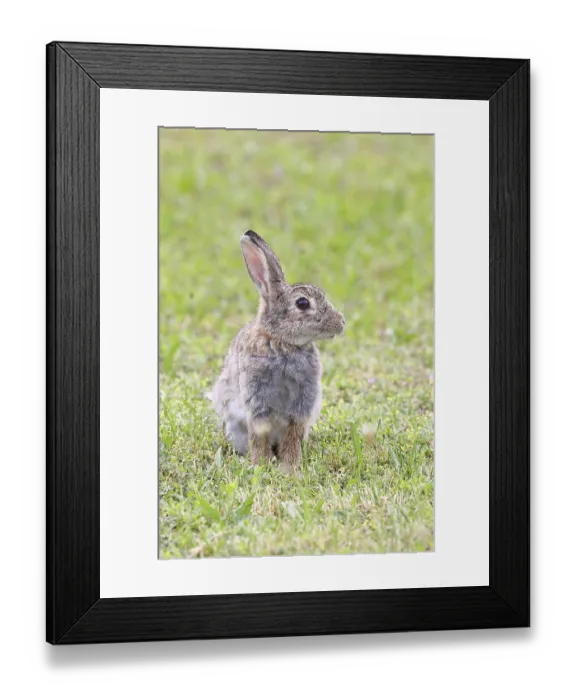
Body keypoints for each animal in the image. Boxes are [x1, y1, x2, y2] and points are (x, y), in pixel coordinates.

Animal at [211, 230, 346, 474]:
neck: (282, 342)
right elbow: (260, 434)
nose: (341, 322)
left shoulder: (302, 405)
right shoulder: (257, 401)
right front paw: (260, 465)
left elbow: (293, 434)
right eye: (302, 303)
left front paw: (290, 469)